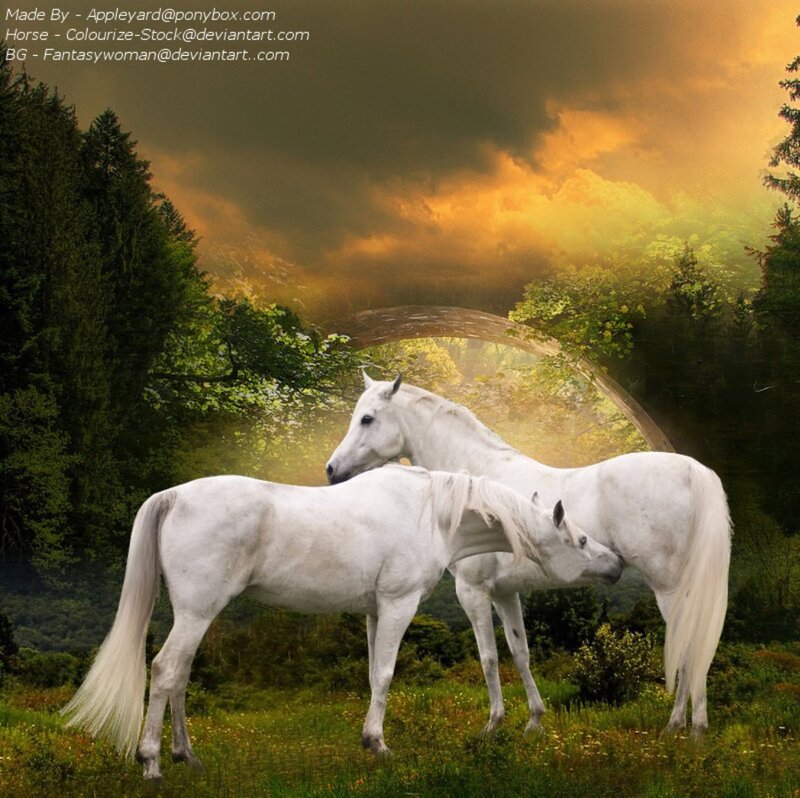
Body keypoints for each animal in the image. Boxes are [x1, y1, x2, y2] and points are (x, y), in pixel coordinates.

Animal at [62, 464, 622, 780]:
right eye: (580, 541)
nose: (616, 564)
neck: (430, 513)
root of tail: (174, 495)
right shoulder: (397, 604)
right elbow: (386, 675)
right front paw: (379, 745)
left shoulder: (374, 610)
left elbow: (373, 674)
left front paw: (368, 741)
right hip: (198, 612)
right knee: (164, 672)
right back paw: (152, 762)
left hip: (196, 614)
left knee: (179, 676)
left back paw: (187, 757)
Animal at [326, 374, 732, 736]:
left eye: (367, 418)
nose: (332, 470)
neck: (477, 485)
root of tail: (694, 469)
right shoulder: (506, 592)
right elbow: (520, 651)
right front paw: (534, 721)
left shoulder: (472, 590)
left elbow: (489, 657)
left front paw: (493, 725)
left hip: (671, 589)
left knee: (688, 644)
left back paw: (681, 727)